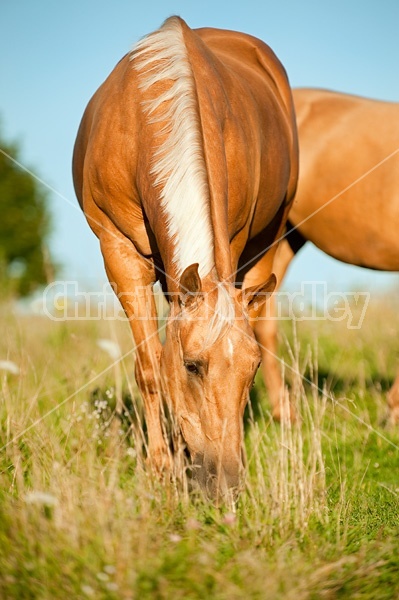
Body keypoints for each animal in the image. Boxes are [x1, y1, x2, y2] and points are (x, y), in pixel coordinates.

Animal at [72, 17, 298, 496]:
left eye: (250, 369)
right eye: (193, 366)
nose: (226, 481)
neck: (143, 118)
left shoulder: (232, 243)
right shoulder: (120, 254)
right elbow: (151, 366)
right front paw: (161, 465)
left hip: (269, 236)